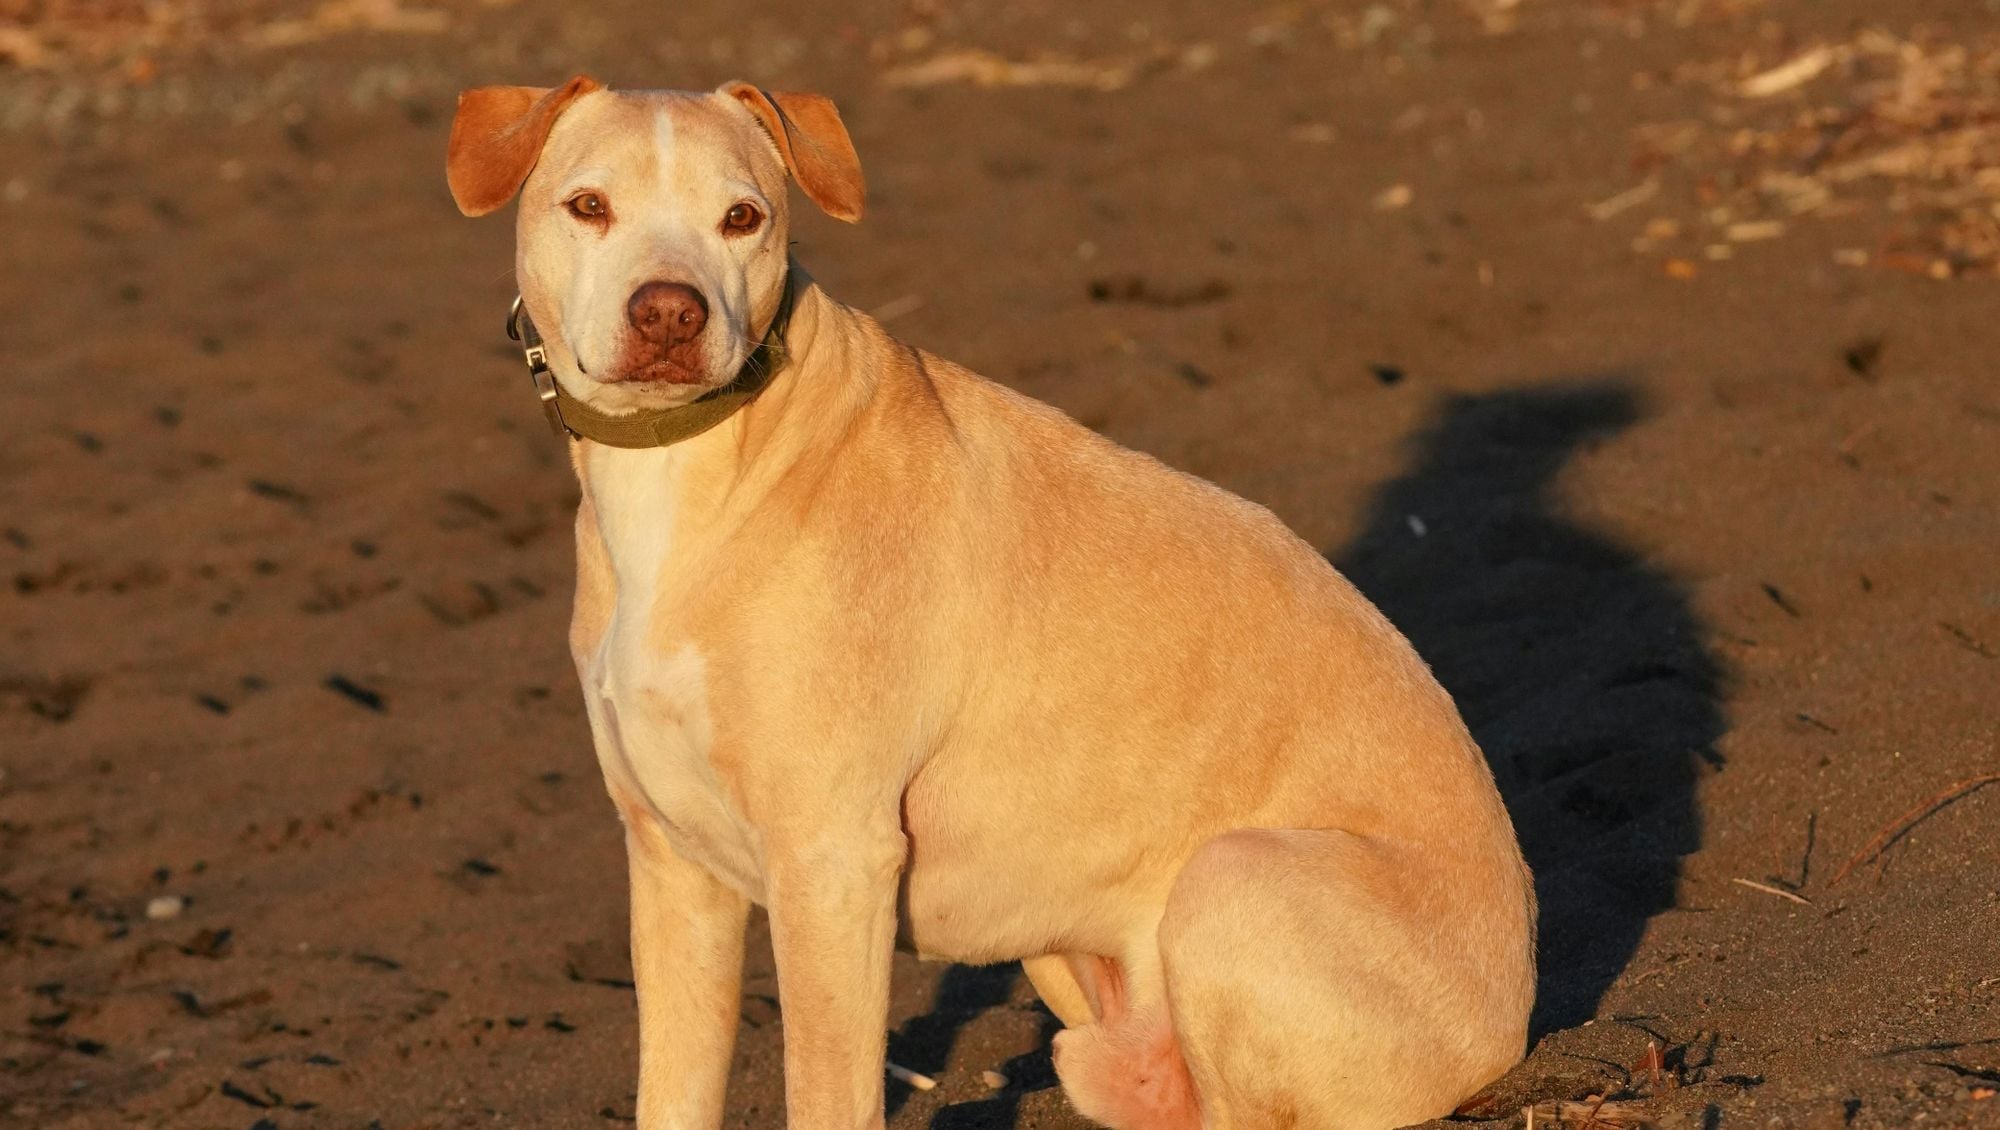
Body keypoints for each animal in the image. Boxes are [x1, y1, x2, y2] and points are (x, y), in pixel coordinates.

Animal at [446, 76, 1535, 1130]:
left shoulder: (831, 866)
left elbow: (827, 1093)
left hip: (1233, 882)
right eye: (588, 206)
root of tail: (1517, 1013)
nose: (671, 313)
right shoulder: (675, 869)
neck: (692, 464)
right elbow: (670, 1094)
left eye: (741, 217)